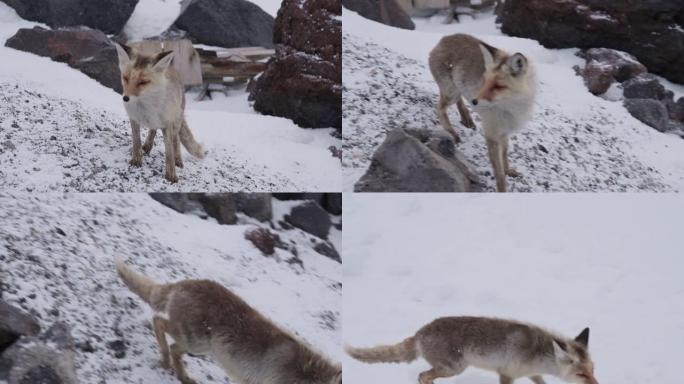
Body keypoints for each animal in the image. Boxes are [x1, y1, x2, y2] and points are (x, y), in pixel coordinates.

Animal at [116, 258, 342, 384]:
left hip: (199, 347)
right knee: (159, 325)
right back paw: (164, 361)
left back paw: (183, 377)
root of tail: (185, 283)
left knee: (173, 348)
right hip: (194, 341)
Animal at [348, 316, 600, 382]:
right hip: (454, 368)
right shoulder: (506, 374)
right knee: (422, 376)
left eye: (593, 371)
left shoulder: (533, 374)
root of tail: (420, 333)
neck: (537, 355)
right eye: (581, 374)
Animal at [430, 34, 536, 192]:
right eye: (485, 81)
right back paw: (452, 132)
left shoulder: (505, 132)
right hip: (451, 93)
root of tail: (446, 37)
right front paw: (502, 189)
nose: (474, 101)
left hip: (457, 90)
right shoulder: (492, 134)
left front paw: (508, 170)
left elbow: (505, 155)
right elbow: (499, 173)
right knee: (439, 109)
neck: (511, 110)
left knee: (457, 102)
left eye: (498, 86)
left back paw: (466, 118)